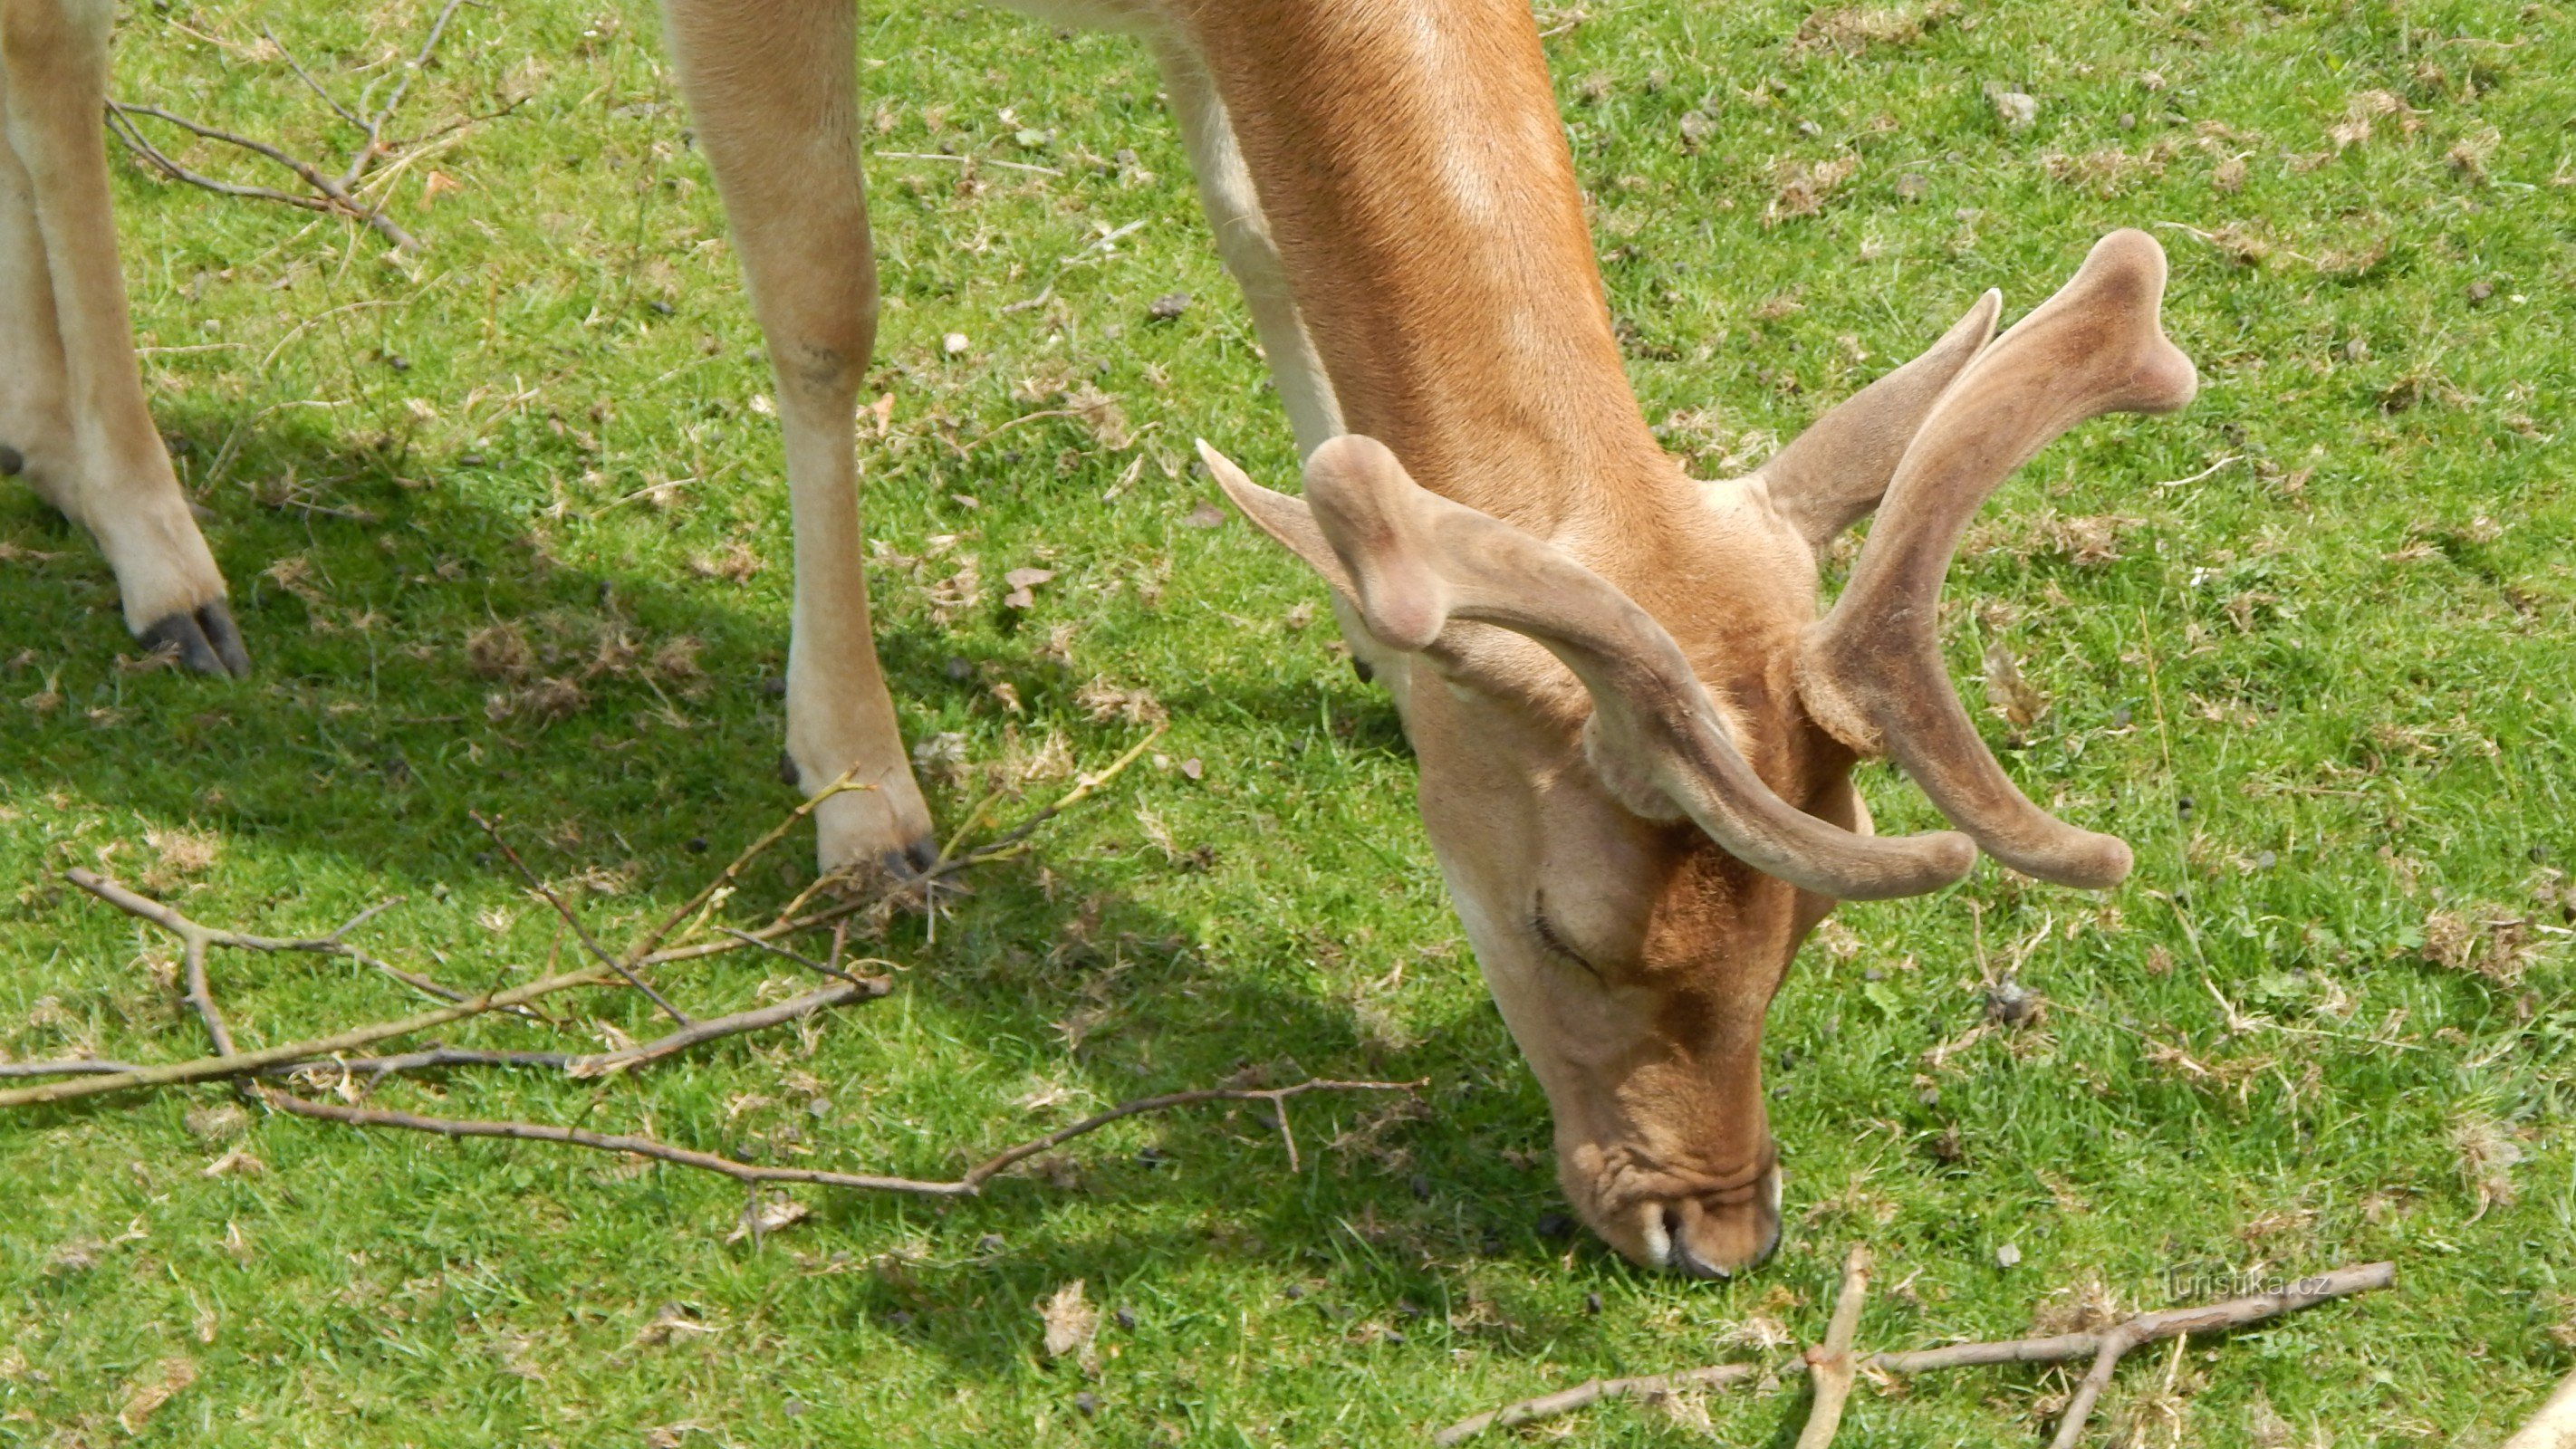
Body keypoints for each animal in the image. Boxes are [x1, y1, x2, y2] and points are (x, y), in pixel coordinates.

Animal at [0, 0, 2195, 1271]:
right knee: (60, 48)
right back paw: (163, 552)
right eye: (1569, 927)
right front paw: (864, 796)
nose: (1711, 1235)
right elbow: (826, 298)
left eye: (1796, 925)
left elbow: (1262, 235)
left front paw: (1357, 627)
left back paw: (47, 445)